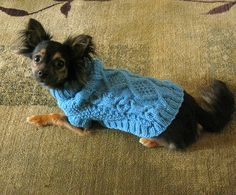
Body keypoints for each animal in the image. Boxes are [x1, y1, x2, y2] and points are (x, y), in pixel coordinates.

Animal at [18, 18, 234, 149]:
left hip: (164, 131)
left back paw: (148, 140)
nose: (41, 73)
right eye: (37, 58)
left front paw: (37, 118)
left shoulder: (80, 123)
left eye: (60, 63)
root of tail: (193, 106)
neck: (73, 81)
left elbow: (55, 116)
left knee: (184, 139)